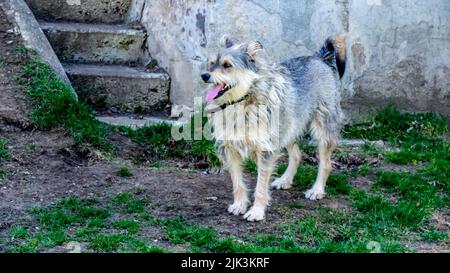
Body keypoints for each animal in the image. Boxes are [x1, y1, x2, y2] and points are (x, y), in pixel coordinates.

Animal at [202, 34, 346, 221]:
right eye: (212, 63)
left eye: (227, 65)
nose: (204, 75)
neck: (242, 102)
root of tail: (320, 57)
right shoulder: (229, 149)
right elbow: (237, 183)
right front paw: (240, 205)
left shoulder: (265, 150)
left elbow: (260, 187)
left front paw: (256, 211)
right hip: (288, 128)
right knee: (297, 155)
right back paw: (285, 180)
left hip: (323, 129)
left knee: (326, 163)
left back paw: (317, 190)